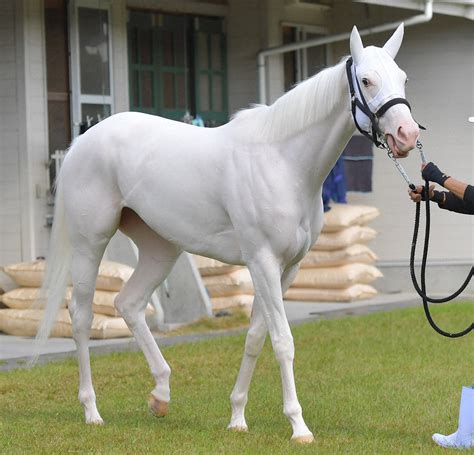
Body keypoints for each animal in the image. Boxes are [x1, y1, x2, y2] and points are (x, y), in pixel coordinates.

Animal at [36, 24, 418, 442]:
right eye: (366, 80)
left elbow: (256, 337)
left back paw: (160, 395)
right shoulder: (262, 262)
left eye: (402, 78)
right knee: (82, 315)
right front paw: (298, 425)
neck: (283, 162)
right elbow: (282, 340)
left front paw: (237, 417)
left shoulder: (287, 269)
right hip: (91, 243)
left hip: (160, 250)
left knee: (129, 304)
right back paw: (92, 411)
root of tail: (82, 142)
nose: (407, 134)